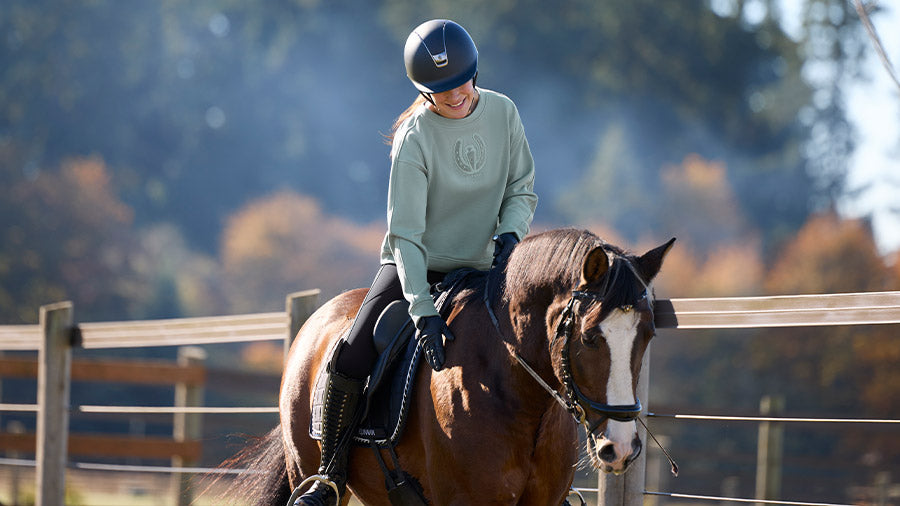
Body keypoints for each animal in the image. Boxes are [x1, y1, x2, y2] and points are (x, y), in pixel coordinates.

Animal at [216, 227, 674, 505]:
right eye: (590, 336)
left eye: (649, 335)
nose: (621, 448)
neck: (517, 396)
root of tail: (316, 321)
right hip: (309, 469)